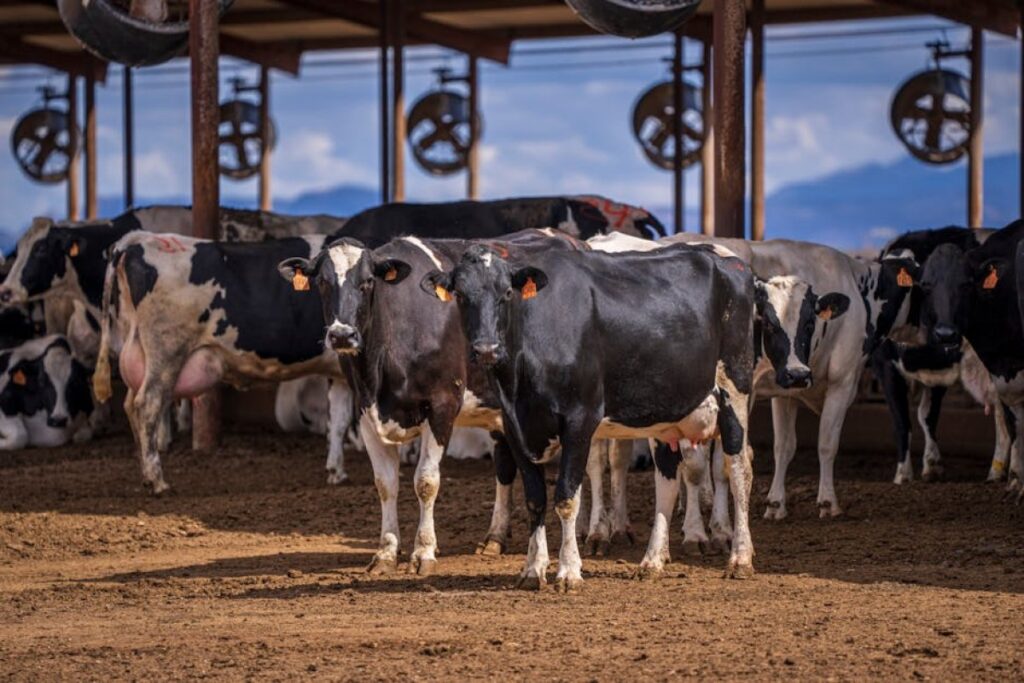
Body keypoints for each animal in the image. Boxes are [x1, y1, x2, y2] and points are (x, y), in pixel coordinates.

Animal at [92, 233, 351, 494]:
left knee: (130, 404)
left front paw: (336, 472)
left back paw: (145, 472)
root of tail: (139, 238)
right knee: (147, 404)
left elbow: (338, 421)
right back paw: (157, 480)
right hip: (166, 353)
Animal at [422, 242, 759, 590]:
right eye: (461, 295)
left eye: (506, 293)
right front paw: (532, 570)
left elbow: (567, 498)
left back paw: (740, 559)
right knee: (666, 480)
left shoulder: (579, 420)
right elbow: (536, 499)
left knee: (739, 470)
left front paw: (568, 571)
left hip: (735, 389)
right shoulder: (514, 426)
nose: (486, 349)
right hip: (666, 413)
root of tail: (728, 262)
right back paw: (652, 561)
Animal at [874, 227, 1009, 484]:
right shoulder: (902, 366)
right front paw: (928, 466)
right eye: (925, 285)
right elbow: (919, 417)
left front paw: (906, 473)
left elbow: (908, 419)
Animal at [909, 220, 1024, 499]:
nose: (945, 334)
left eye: (966, 284)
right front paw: (1016, 481)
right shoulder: (1003, 368)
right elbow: (1014, 418)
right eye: (926, 285)